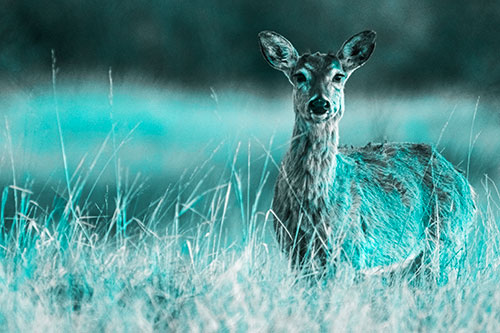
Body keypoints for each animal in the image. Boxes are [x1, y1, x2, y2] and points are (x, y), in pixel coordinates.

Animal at [258, 31, 476, 276]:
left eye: (338, 76)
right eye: (299, 76)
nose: (320, 104)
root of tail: (466, 185)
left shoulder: (351, 252)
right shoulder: (295, 252)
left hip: (447, 243)